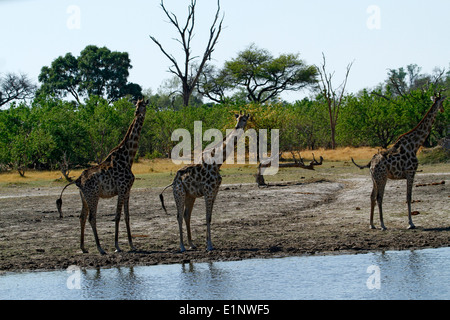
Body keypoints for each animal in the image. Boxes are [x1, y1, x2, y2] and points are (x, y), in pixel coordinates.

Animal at [57, 99, 149, 254]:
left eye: (143, 105)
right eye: (137, 105)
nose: (137, 112)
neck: (128, 158)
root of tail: (78, 181)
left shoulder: (128, 190)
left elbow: (127, 217)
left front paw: (132, 245)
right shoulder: (122, 189)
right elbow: (117, 216)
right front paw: (117, 246)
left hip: (84, 197)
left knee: (82, 217)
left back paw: (83, 247)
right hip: (93, 196)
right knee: (91, 218)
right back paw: (100, 248)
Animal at [159, 112, 251, 252]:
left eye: (244, 119)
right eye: (237, 119)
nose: (237, 127)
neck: (217, 162)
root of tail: (174, 181)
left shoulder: (215, 191)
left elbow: (210, 217)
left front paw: (208, 243)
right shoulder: (208, 191)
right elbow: (207, 217)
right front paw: (209, 245)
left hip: (189, 196)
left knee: (186, 215)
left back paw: (191, 244)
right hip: (179, 193)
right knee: (179, 216)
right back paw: (182, 246)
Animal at [352, 95, 446, 230]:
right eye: (442, 102)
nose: (443, 110)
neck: (415, 145)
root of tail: (370, 164)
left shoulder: (408, 173)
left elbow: (408, 197)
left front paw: (410, 222)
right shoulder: (411, 172)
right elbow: (409, 197)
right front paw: (411, 223)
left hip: (374, 178)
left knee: (372, 196)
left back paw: (372, 224)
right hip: (382, 178)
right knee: (379, 197)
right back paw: (383, 225)